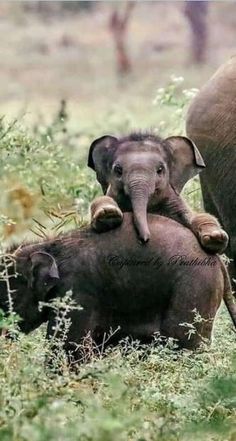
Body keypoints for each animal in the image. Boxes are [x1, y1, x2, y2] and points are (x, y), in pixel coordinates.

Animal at [0, 213, 235, 364]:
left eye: (4, 300)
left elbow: (69, 347)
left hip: (195, 289)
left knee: (184, 344)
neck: (48, 246)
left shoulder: (75, 292)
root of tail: (217, 260)